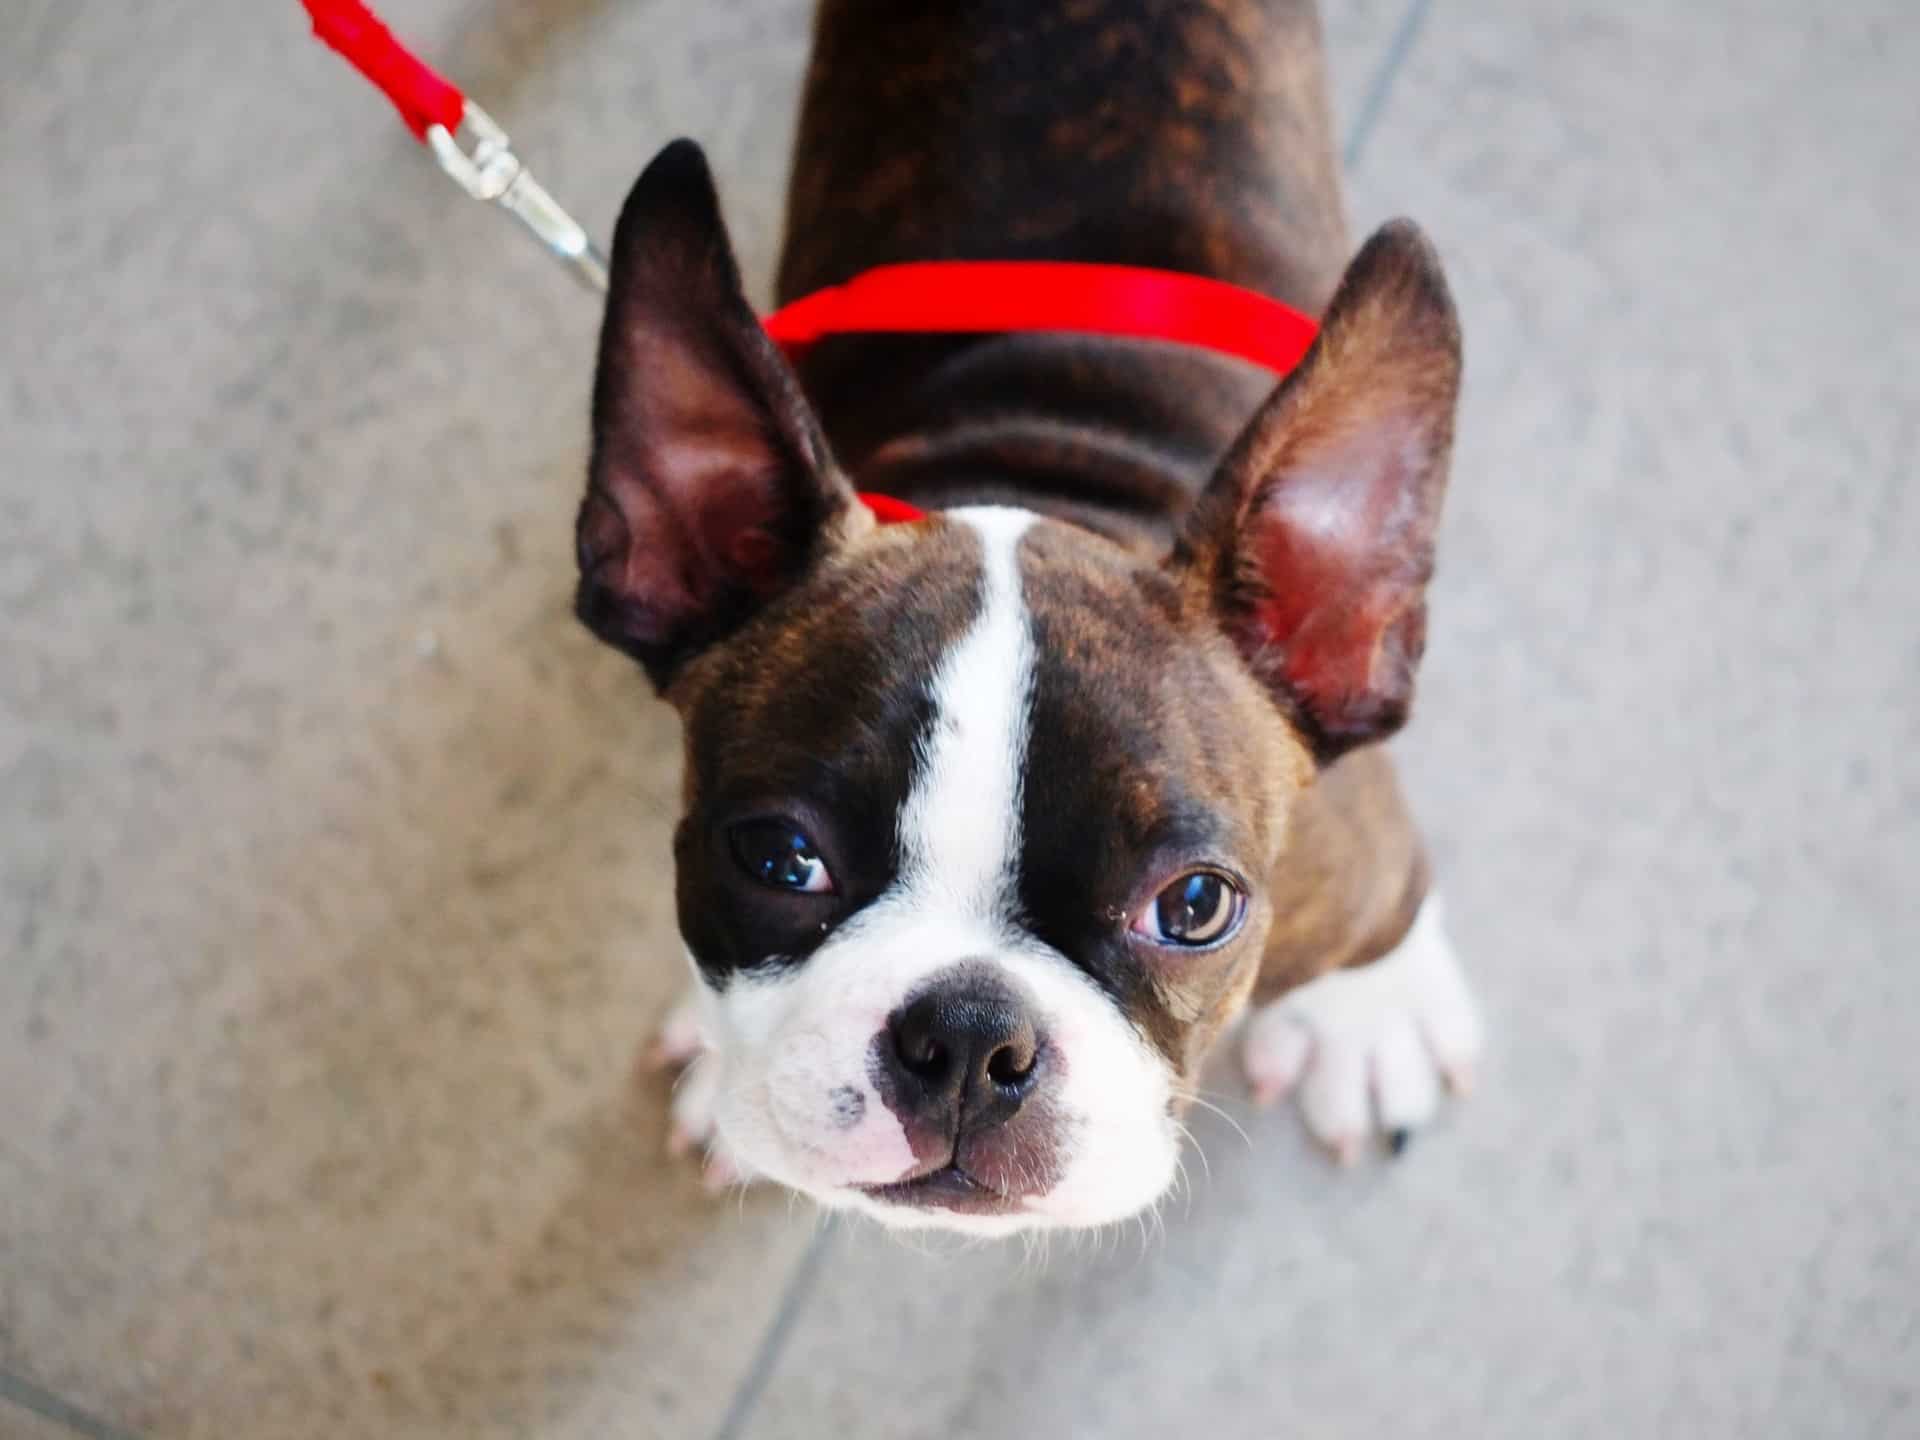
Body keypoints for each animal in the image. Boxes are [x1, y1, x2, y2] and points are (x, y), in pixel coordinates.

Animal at [579, 0, 1482, 1244]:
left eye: (1196, 905)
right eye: (776, 856)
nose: (968, 1035)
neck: (1048, 471)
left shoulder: (1354, 851)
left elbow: (1392, 904)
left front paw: (1371, 1014)